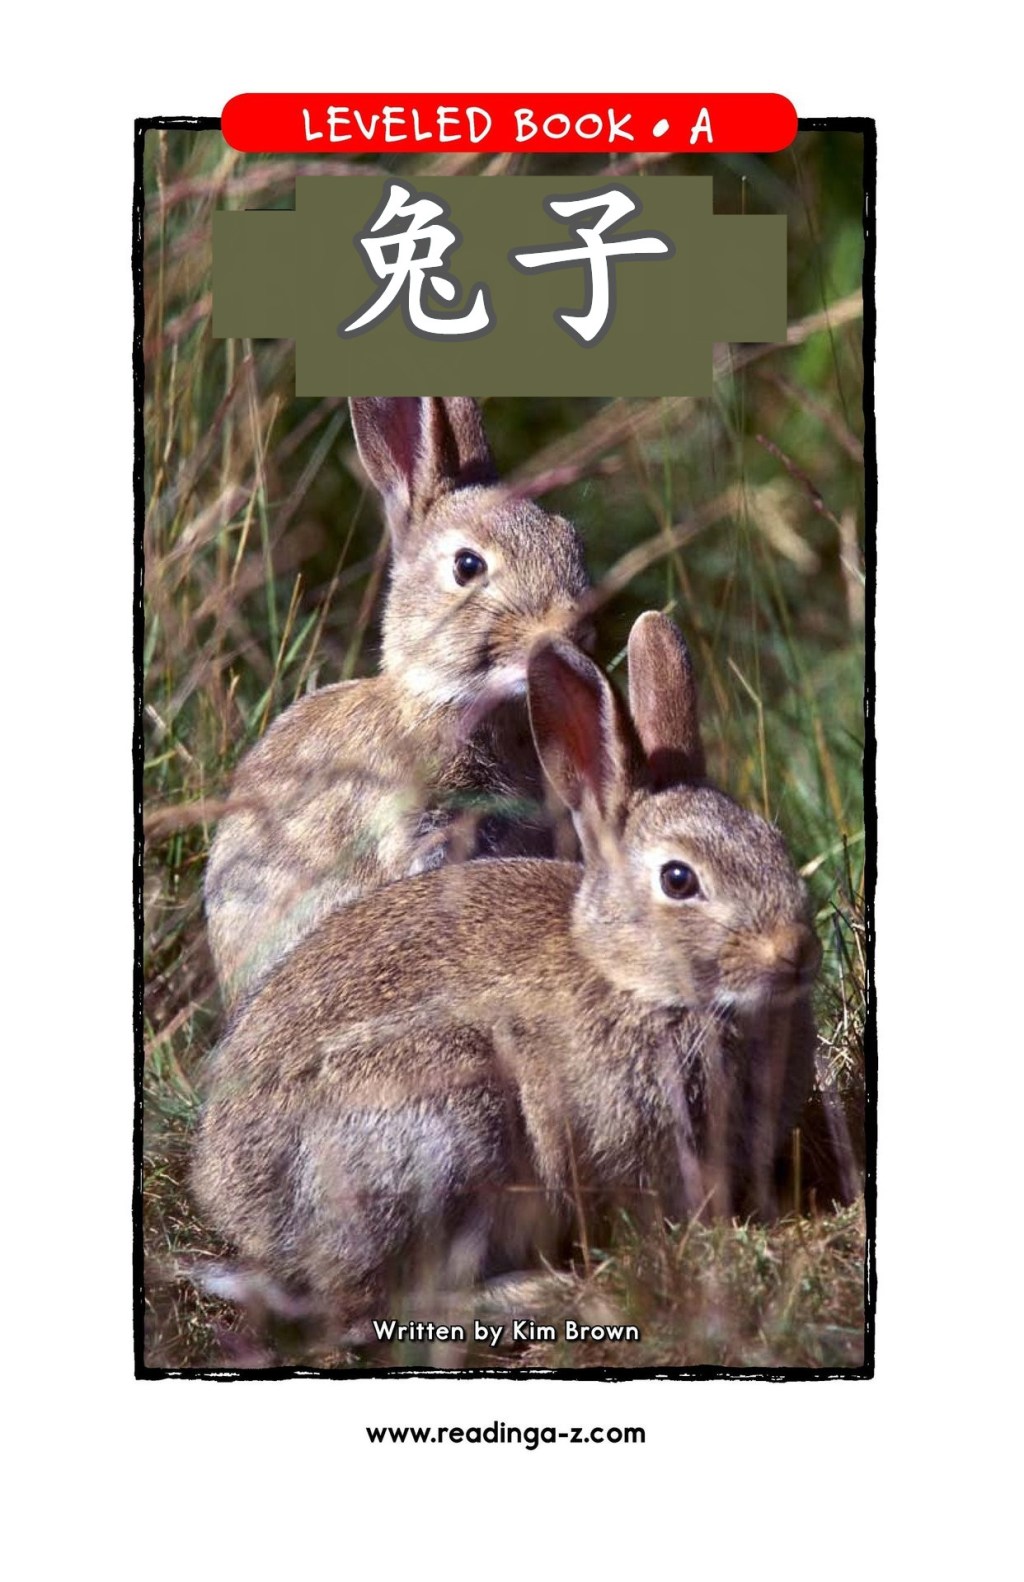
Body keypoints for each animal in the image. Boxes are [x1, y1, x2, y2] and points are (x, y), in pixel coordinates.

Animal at [191, 612, 821, 1328]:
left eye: (775, 843)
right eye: (679, 880)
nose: (795, 950)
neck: (629, 975)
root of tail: (234, 1203)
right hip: (446, 1120)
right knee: (373, 1296)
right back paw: (544, 1291)